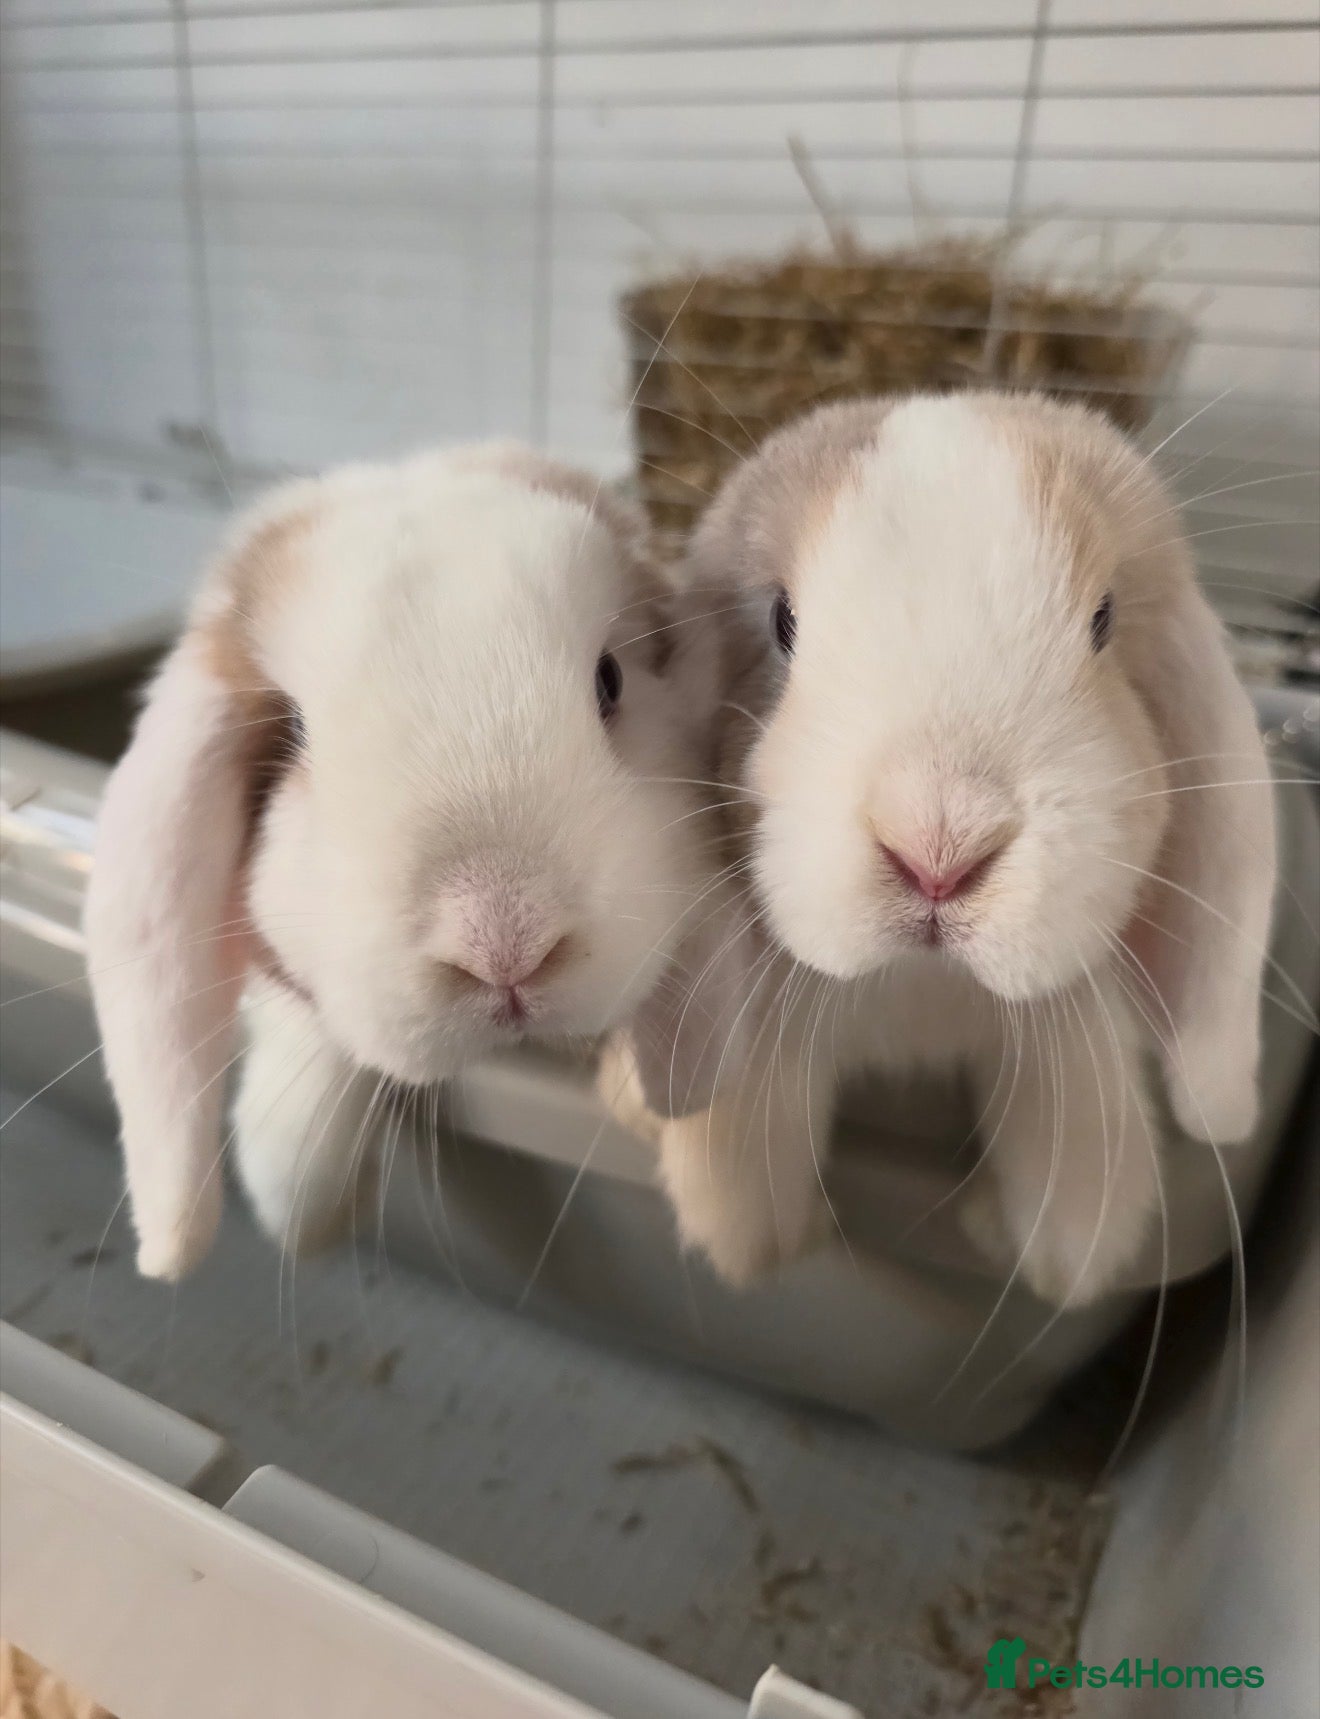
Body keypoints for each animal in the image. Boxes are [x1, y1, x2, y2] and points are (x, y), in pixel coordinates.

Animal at [616, 392, 1277, 1306]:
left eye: (1103, 620)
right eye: (783, 622)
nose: (938, 852)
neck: (918, 987)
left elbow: (1074, 1125)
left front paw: (1063, 1253)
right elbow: (759, 1112)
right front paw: (755, 1235)